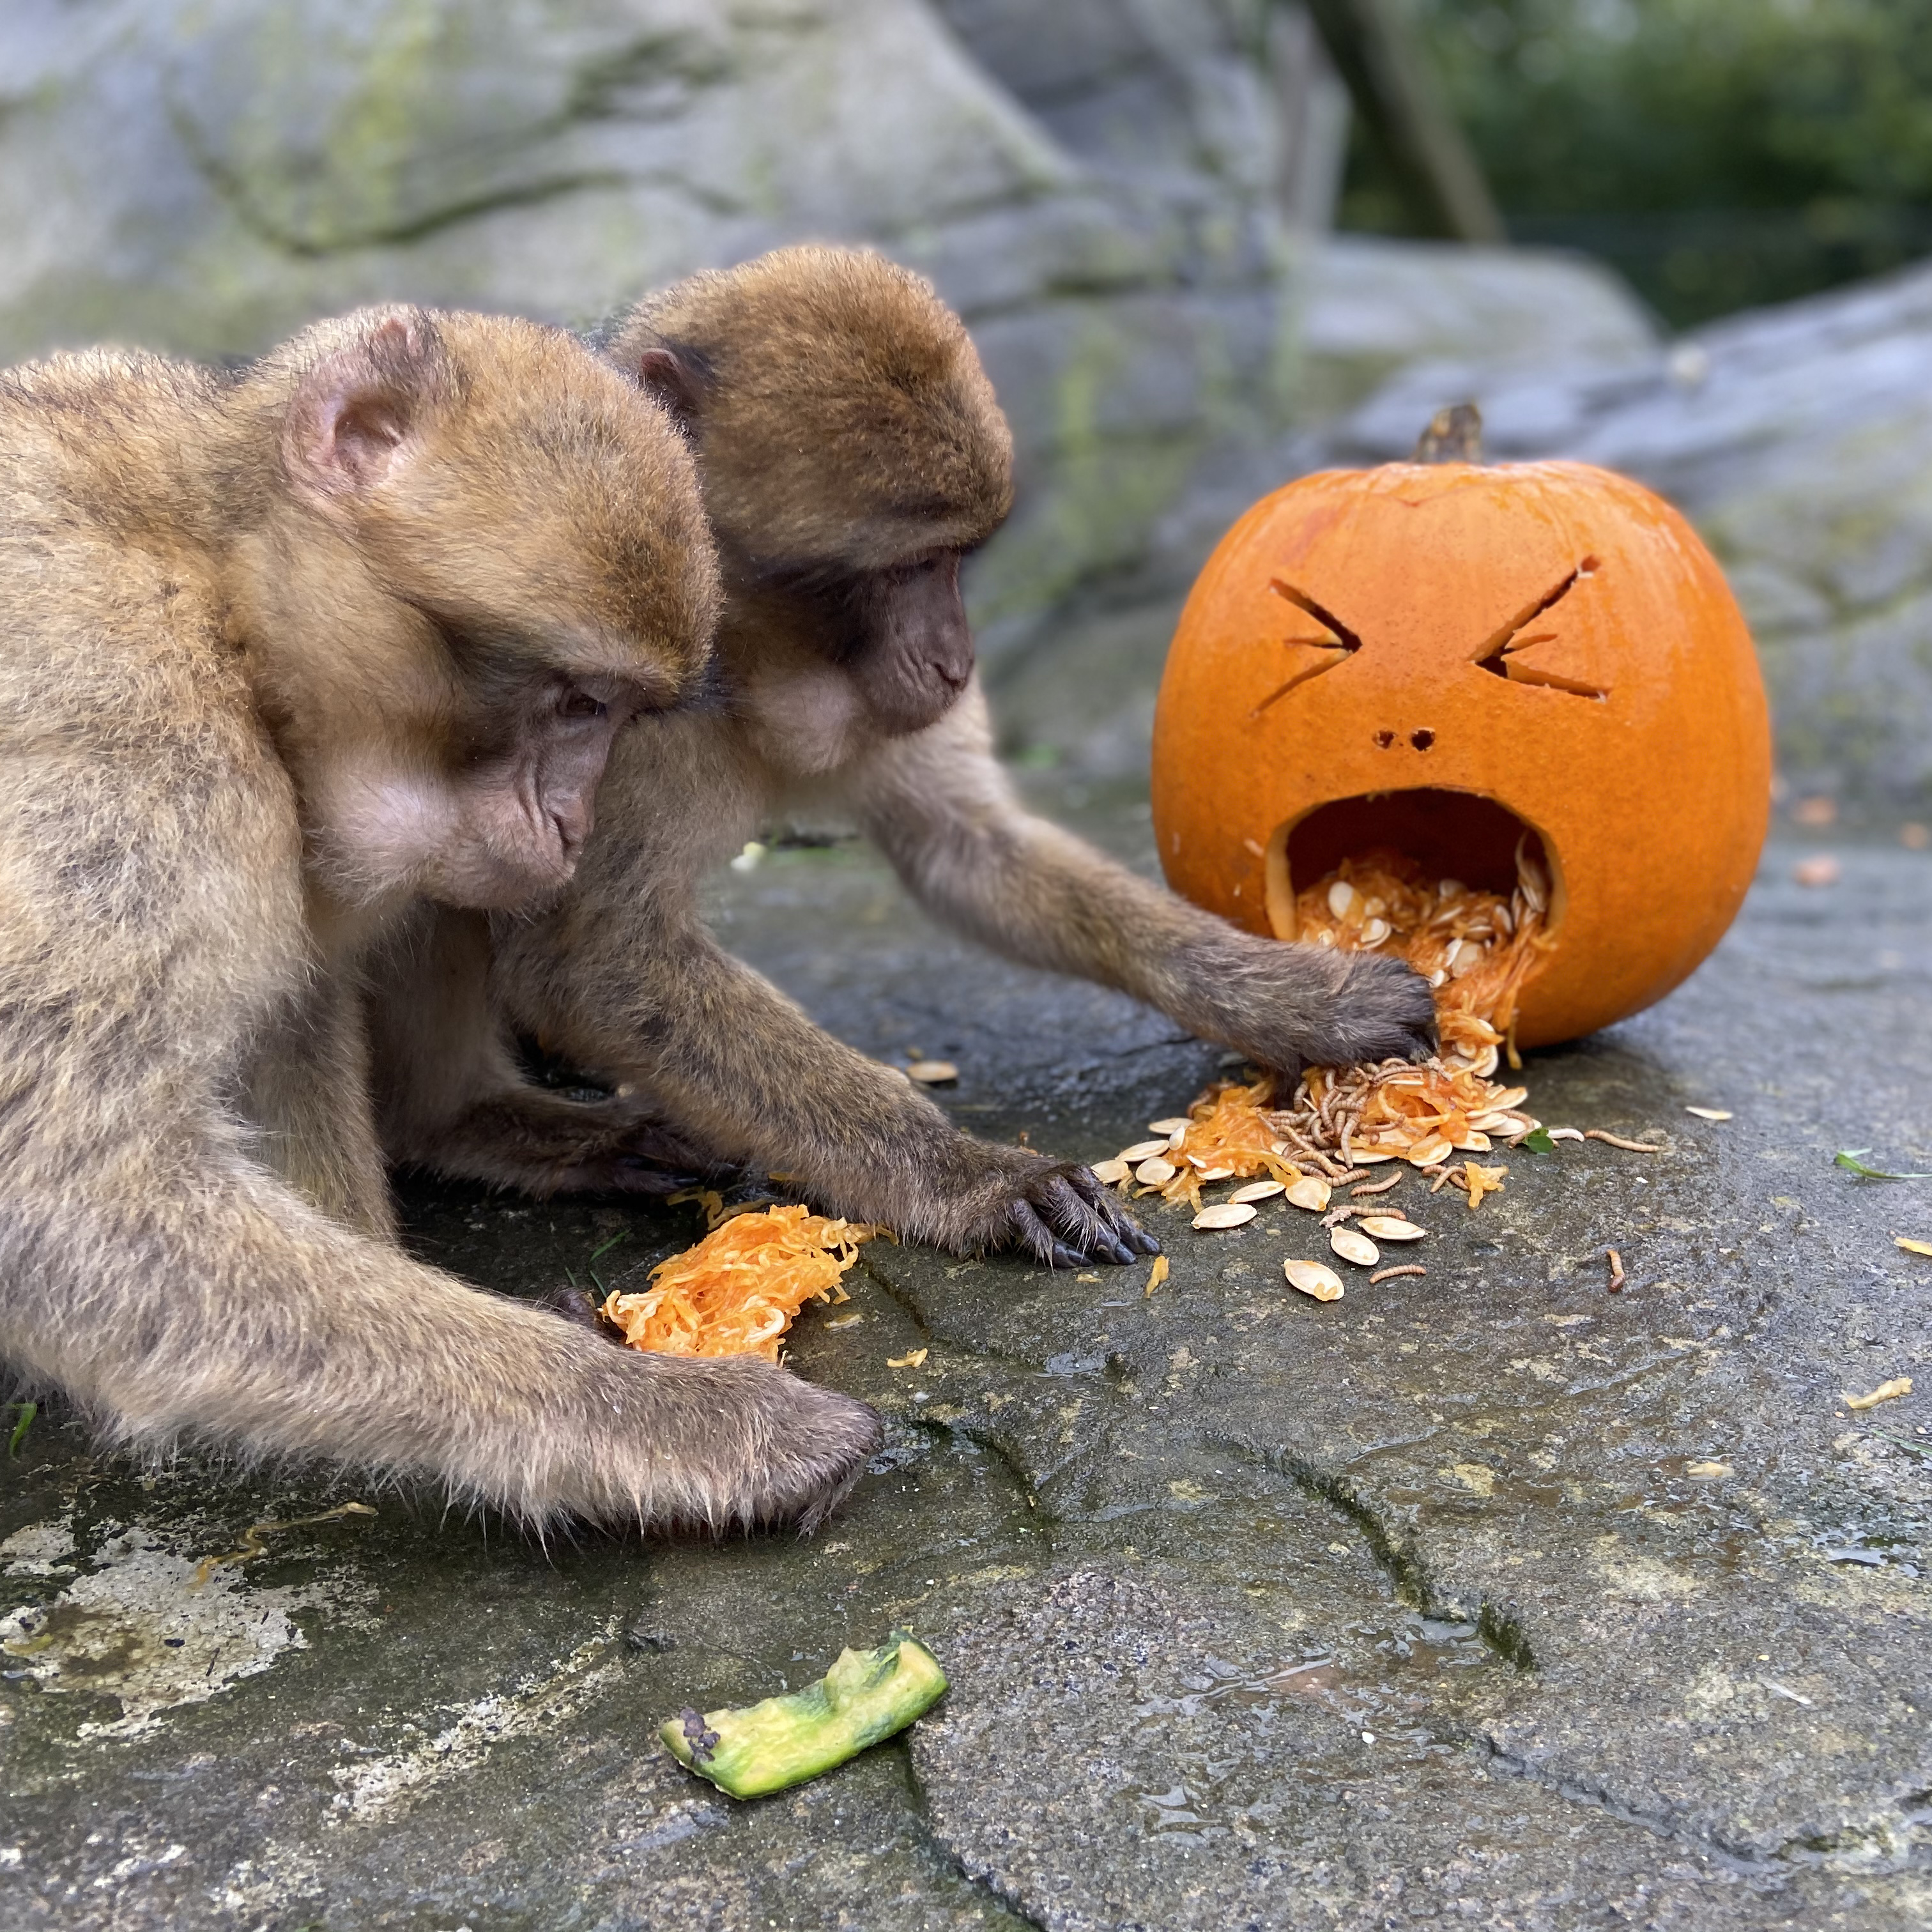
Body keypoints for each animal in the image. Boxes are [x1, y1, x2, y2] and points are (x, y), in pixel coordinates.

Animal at [0, 309, 877, 1530]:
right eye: (579, 702)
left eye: (617, 716)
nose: (573, 820)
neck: (223, 600)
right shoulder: (134, 741)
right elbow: (64, 1203)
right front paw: (671, 1414)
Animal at [376, 245, 1437, 1267]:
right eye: (905, 568)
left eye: (958, 561)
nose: (956, 663)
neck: (745, 669)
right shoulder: (601, 708)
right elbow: (601, 962)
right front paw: (979, 1177)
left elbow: (969, 849)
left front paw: (1300, 1000)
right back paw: (476, 1123)